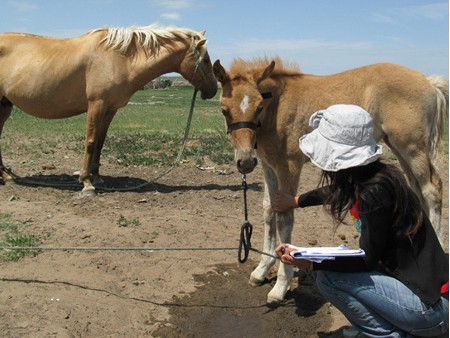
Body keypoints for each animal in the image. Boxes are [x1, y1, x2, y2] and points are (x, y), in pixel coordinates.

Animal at [0, 24, 218, 195]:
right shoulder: (96, 105)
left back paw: (6, 176)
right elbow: (90, 142)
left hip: (4, 105)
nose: (213, 90)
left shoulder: (109, 109)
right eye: (206, 60)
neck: (119, 58)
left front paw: (97, 178)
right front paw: (86, 183)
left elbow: (100, 142)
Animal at [213, 58, 448, 304]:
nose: (245, 162)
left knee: (432, 189)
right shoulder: (269, 165)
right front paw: (261, 270)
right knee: (417, 190)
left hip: (412, 146)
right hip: (399, 147)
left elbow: (284, 218)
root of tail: (429, 81)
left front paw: (280, 285)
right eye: (224, 110)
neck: (276, 108)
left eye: (259, 106)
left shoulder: (289, 165)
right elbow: (269, 209)